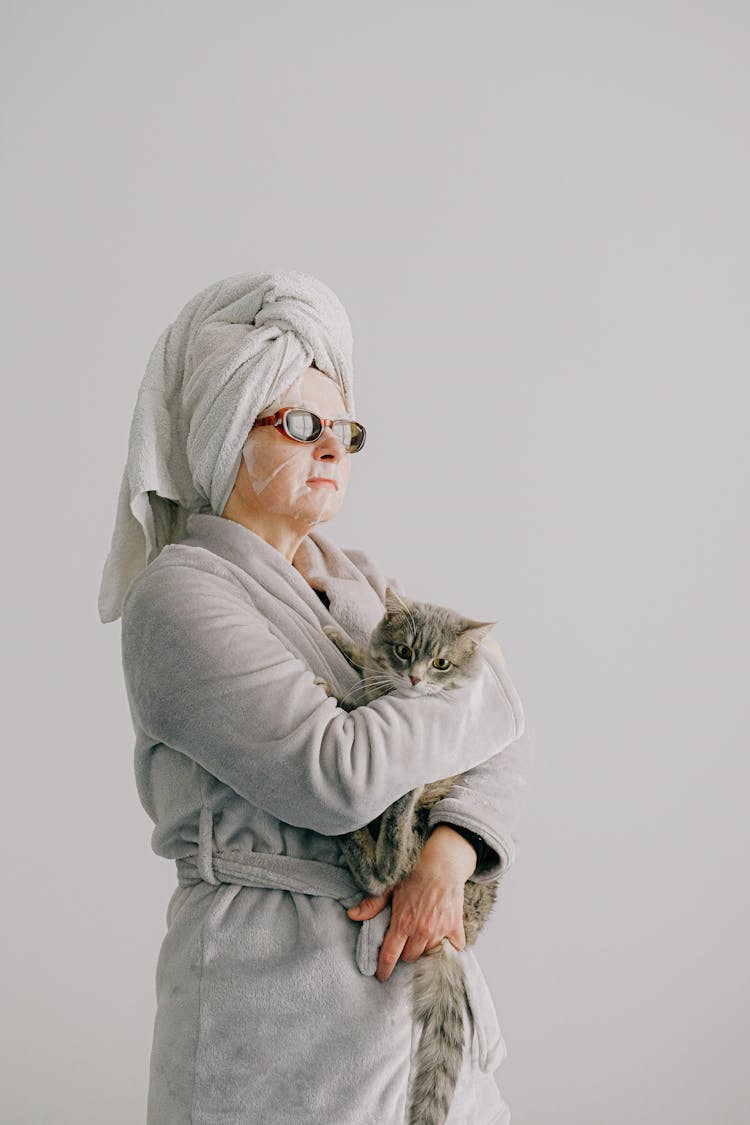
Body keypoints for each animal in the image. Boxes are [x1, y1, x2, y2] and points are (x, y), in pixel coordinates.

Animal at [314, 585, 499, 1125]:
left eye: (440, 663)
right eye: (404, 651)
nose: (415, 679)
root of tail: (459, 934)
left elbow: (357, 701)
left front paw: (339, 688)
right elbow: (364, 663)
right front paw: (345, 641)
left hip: (415, 827)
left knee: (385, 867)